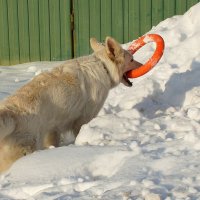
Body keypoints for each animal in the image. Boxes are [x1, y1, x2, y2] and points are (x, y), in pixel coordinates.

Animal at [0, 36, 142, 171]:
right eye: (132, 59)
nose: (142, 65)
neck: (104, 66)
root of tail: (10, 112)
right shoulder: (83, 119)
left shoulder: (53, 129)